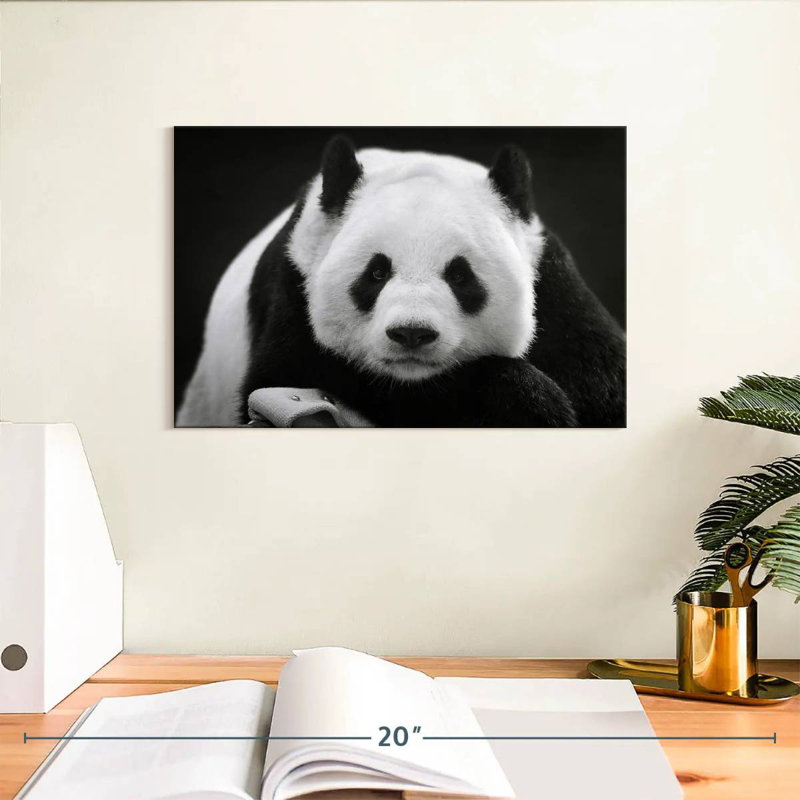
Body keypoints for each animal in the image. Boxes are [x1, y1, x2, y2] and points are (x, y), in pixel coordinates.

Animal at [177, 136, 625, 428]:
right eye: (376, 272)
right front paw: (529, 402)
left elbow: (606, 385)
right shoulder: (295, 284)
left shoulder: (553, 284)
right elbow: (291, 374)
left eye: (460, 275)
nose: (412, 333)